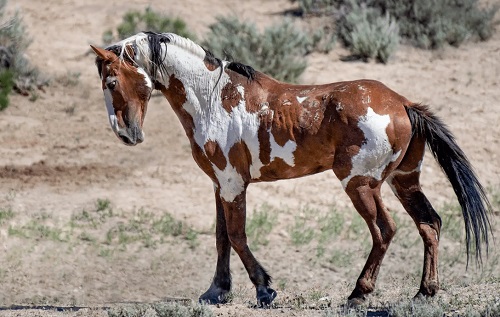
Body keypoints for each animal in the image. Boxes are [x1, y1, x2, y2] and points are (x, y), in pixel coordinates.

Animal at [91, 32, 492, 306]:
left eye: (111, 81)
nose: (126, 134)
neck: (212, 98)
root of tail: (404, 103)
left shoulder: (233, 184)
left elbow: (237, 236)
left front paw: (264, 289)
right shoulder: (221, 185)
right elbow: (221, 238)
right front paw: (217, 291)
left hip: (360, 185)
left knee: (385, 231)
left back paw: (359, 293)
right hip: (403, 181)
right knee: (429, 224)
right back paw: (426, 291)